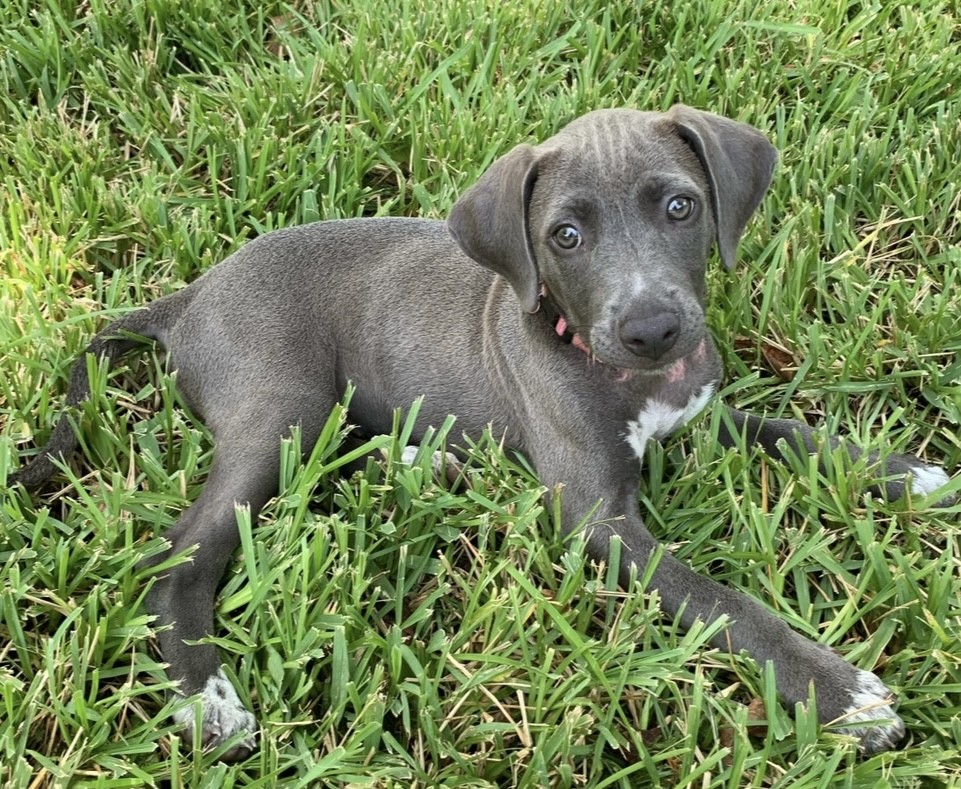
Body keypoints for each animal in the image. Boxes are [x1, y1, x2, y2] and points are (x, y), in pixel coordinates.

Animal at [13, 104, 944, 756]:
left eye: (680, 207)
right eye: (563, 235)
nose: (651, 329)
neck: (622, 374)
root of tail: (190, 298)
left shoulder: (701, 414)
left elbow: (789, 431)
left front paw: (904, 473)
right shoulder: (596, 517)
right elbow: (720, 600)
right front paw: (838, 693)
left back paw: (423, 460)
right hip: (282, 407)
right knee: (178, 556)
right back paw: (207, 700)